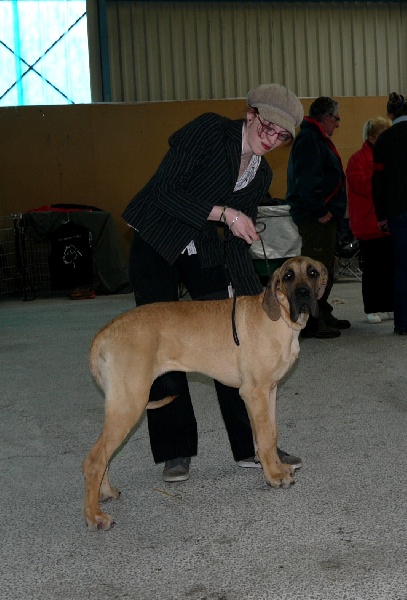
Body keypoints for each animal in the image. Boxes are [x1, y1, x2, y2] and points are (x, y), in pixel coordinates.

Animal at [82, 256, 327, 530]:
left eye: (313, 273)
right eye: (288, 276)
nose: (304, 294)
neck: (279, 318)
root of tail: (104, 333)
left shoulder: (269, 392)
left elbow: (271, 436)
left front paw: (277, 467)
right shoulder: (254, 393)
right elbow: (264, 440)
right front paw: (274, 476)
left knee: (102, 456)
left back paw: (105, 492)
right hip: (129, 404)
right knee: (94, 460)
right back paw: (95, 516)